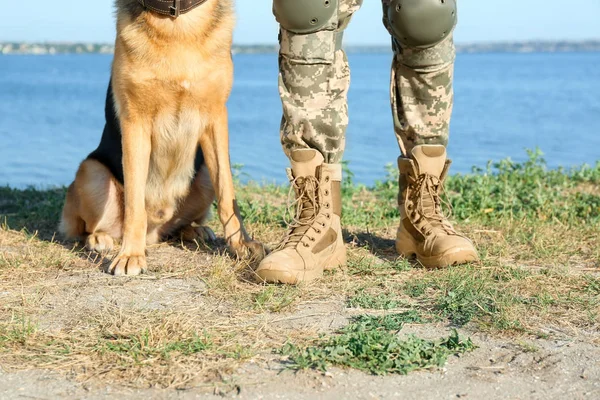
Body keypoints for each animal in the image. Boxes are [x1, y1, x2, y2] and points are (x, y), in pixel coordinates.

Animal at [59, 0, 264, 276]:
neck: (176, 23)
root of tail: (154, 233)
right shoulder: (135, 124)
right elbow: (135, 203)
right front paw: (130, 255)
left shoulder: (216, 120)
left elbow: (227, 196)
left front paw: (241, 244)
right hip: (92, 172)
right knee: (87, 227)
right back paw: (100, 238)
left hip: (203, 175)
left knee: (180, 225)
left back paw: (195, 230)